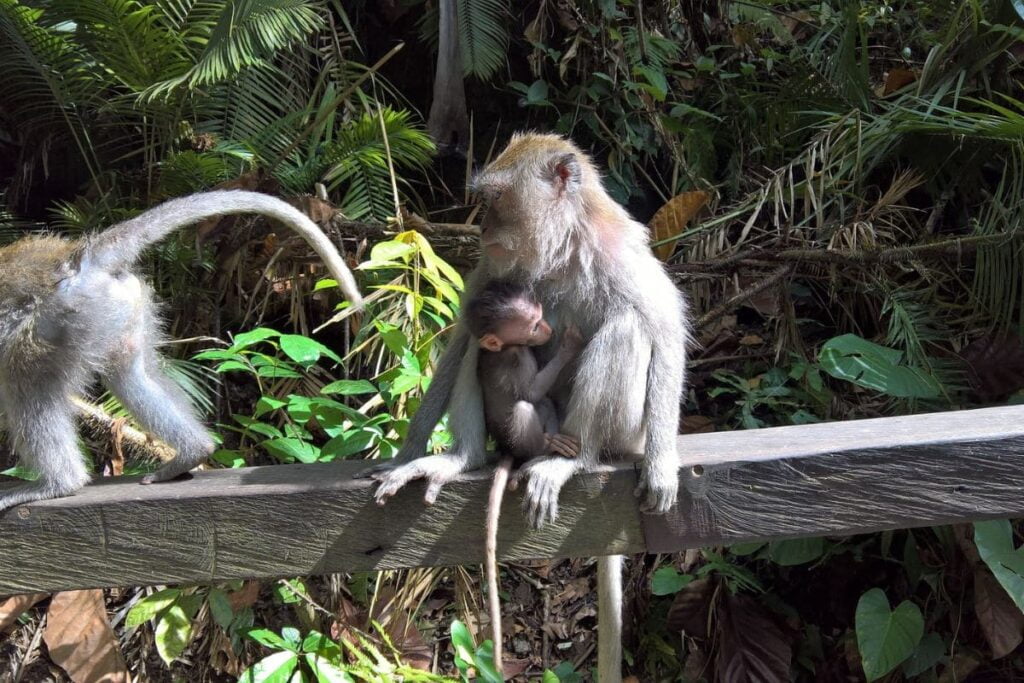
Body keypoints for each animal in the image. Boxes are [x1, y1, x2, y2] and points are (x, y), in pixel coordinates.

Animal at [0, 189, 364, 509]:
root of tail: (76, 257)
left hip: (59, 318)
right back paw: (193, 450)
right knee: (129, 374)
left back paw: (59, 484)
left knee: (26, 385)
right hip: (111, 308)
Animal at [466, 278, 585, 671]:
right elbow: (529, 392)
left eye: (540, 316)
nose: (547, 328)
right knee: (524, 406)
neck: (509, 346)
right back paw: (543, 448)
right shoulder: (514, 356)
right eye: (533, 325)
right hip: (518, 438)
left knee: (541, 404)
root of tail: (509, 449)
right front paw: (568, 346)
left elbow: (539, 396)